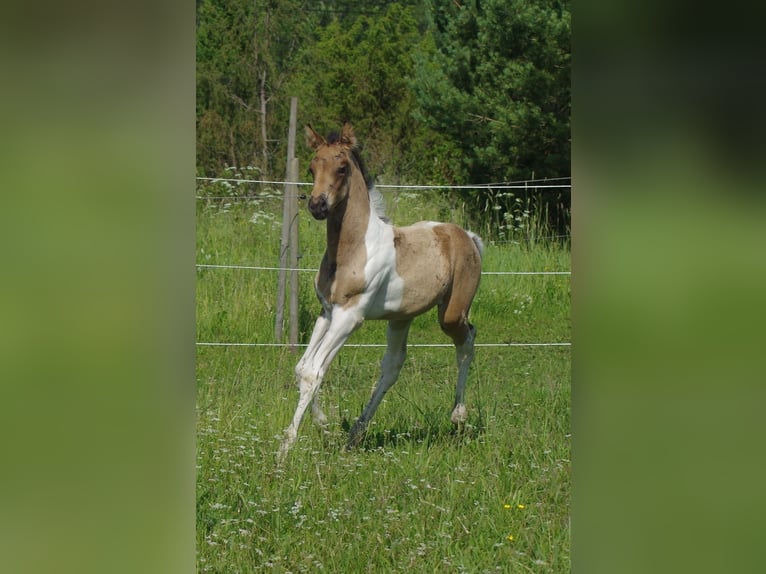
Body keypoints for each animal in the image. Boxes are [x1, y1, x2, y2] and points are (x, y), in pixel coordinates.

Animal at [278, 124, 486, 462]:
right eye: (311, 167)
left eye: (342, 167)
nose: (317, 206)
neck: (352, 249)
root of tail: (467, 236)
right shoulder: (327, 313)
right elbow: (304, 368)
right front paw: (323, 425)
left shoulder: (350, 317)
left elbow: (313, 370)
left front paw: (286, 446)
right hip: (401, 318)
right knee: (392, 366)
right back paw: (355, 434)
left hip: (451, 313)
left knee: (467, 340)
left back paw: (458, 415)